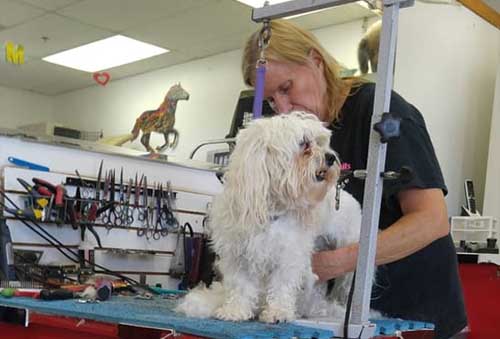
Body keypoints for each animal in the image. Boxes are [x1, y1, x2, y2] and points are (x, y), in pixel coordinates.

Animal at [178, 112, 362, 324]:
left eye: (321, 142)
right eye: (304, 143)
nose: (330, 157)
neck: (271, 211)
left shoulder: (288, 256)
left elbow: (282, 286)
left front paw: (277, 312)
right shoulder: (239, 255)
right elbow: (241, 287)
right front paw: (235, 311)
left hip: (348, 262)